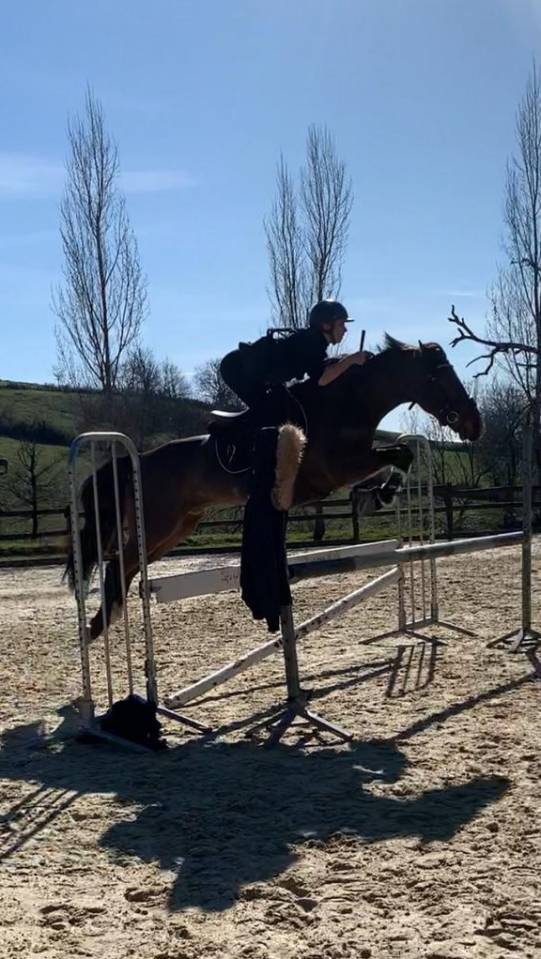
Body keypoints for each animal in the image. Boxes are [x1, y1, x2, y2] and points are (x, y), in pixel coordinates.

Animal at [66, 335, 482, 640]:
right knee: (120, 562)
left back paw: (102, 620)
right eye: (441, 377)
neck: (347, 402)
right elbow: (399, 454)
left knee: (128, 563)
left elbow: (399, 457)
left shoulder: (351, 464)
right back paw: (100, 622)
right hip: (158, 523)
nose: (475, 425)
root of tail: (138, 461)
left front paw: (375, 496)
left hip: (178, 527)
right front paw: (377, 495)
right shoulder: (337, 469)